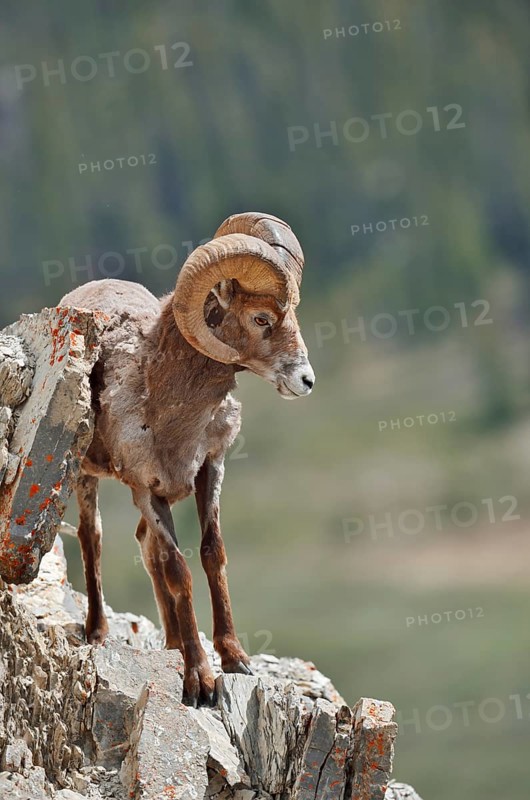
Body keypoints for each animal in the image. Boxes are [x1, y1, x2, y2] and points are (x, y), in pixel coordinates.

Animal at [60, 212, 315, 706]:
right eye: (261, 318)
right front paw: (200, 681)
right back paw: (98, 632)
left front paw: (234, 658)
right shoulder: (146, 489)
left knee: (145, 545)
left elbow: (212, 554)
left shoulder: (209, 469)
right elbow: (180, 570)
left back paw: (174, 642)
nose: (307, 380)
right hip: (85, 476)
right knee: (92, 537)